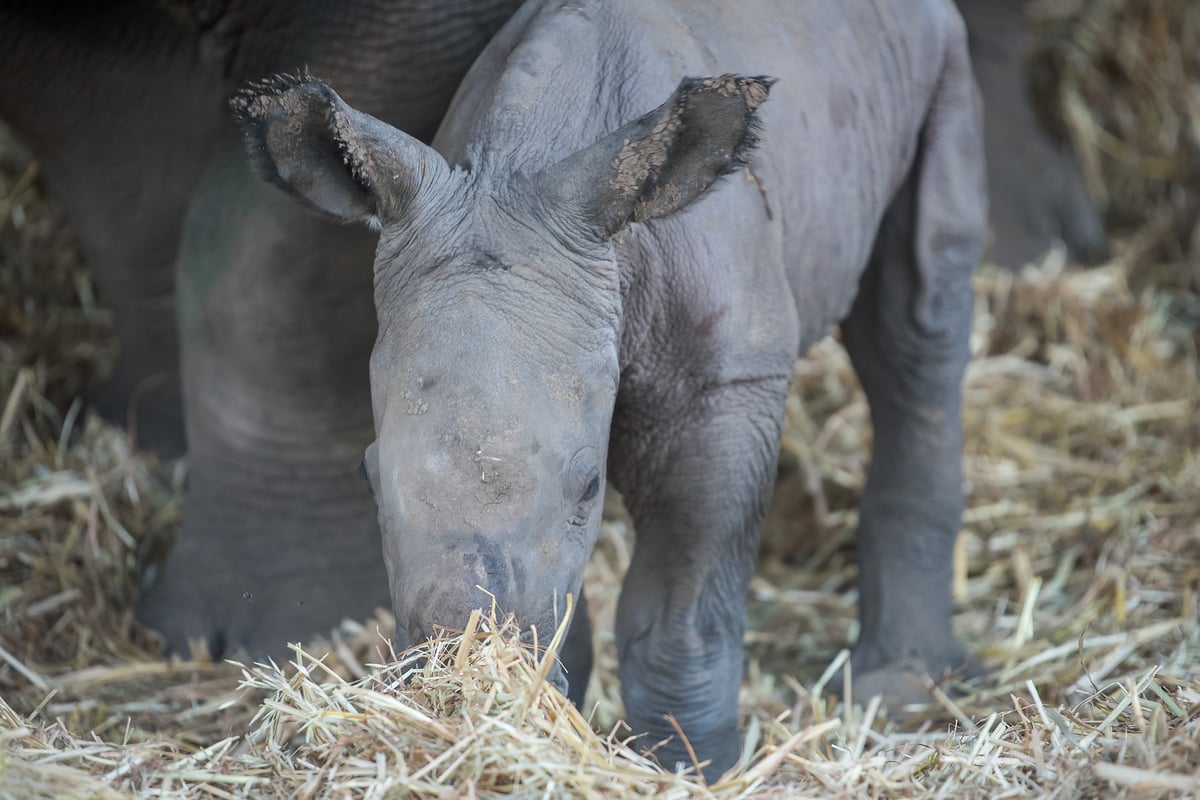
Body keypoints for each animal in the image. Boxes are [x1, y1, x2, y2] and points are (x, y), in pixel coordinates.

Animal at [234, 0, 984, 777]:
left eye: (589, 485)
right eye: (369, 478)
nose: (451, 684)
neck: (517, 165)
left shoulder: (722, 382)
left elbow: (681, 604)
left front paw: (692, 768)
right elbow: (561, 591)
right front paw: (547, 715)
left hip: (938, 53)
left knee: (918, 318)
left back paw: (906, 688)